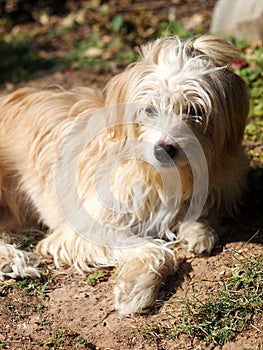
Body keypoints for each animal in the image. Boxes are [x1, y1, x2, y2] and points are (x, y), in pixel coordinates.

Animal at [0, 35, 250, 314]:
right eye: (149, 109)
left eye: (195, 110)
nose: (164, 149)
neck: (159, 177)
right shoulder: (82, 228)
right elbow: (157, 250)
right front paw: (135, 290)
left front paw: (199, 232)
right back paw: (11, 258)